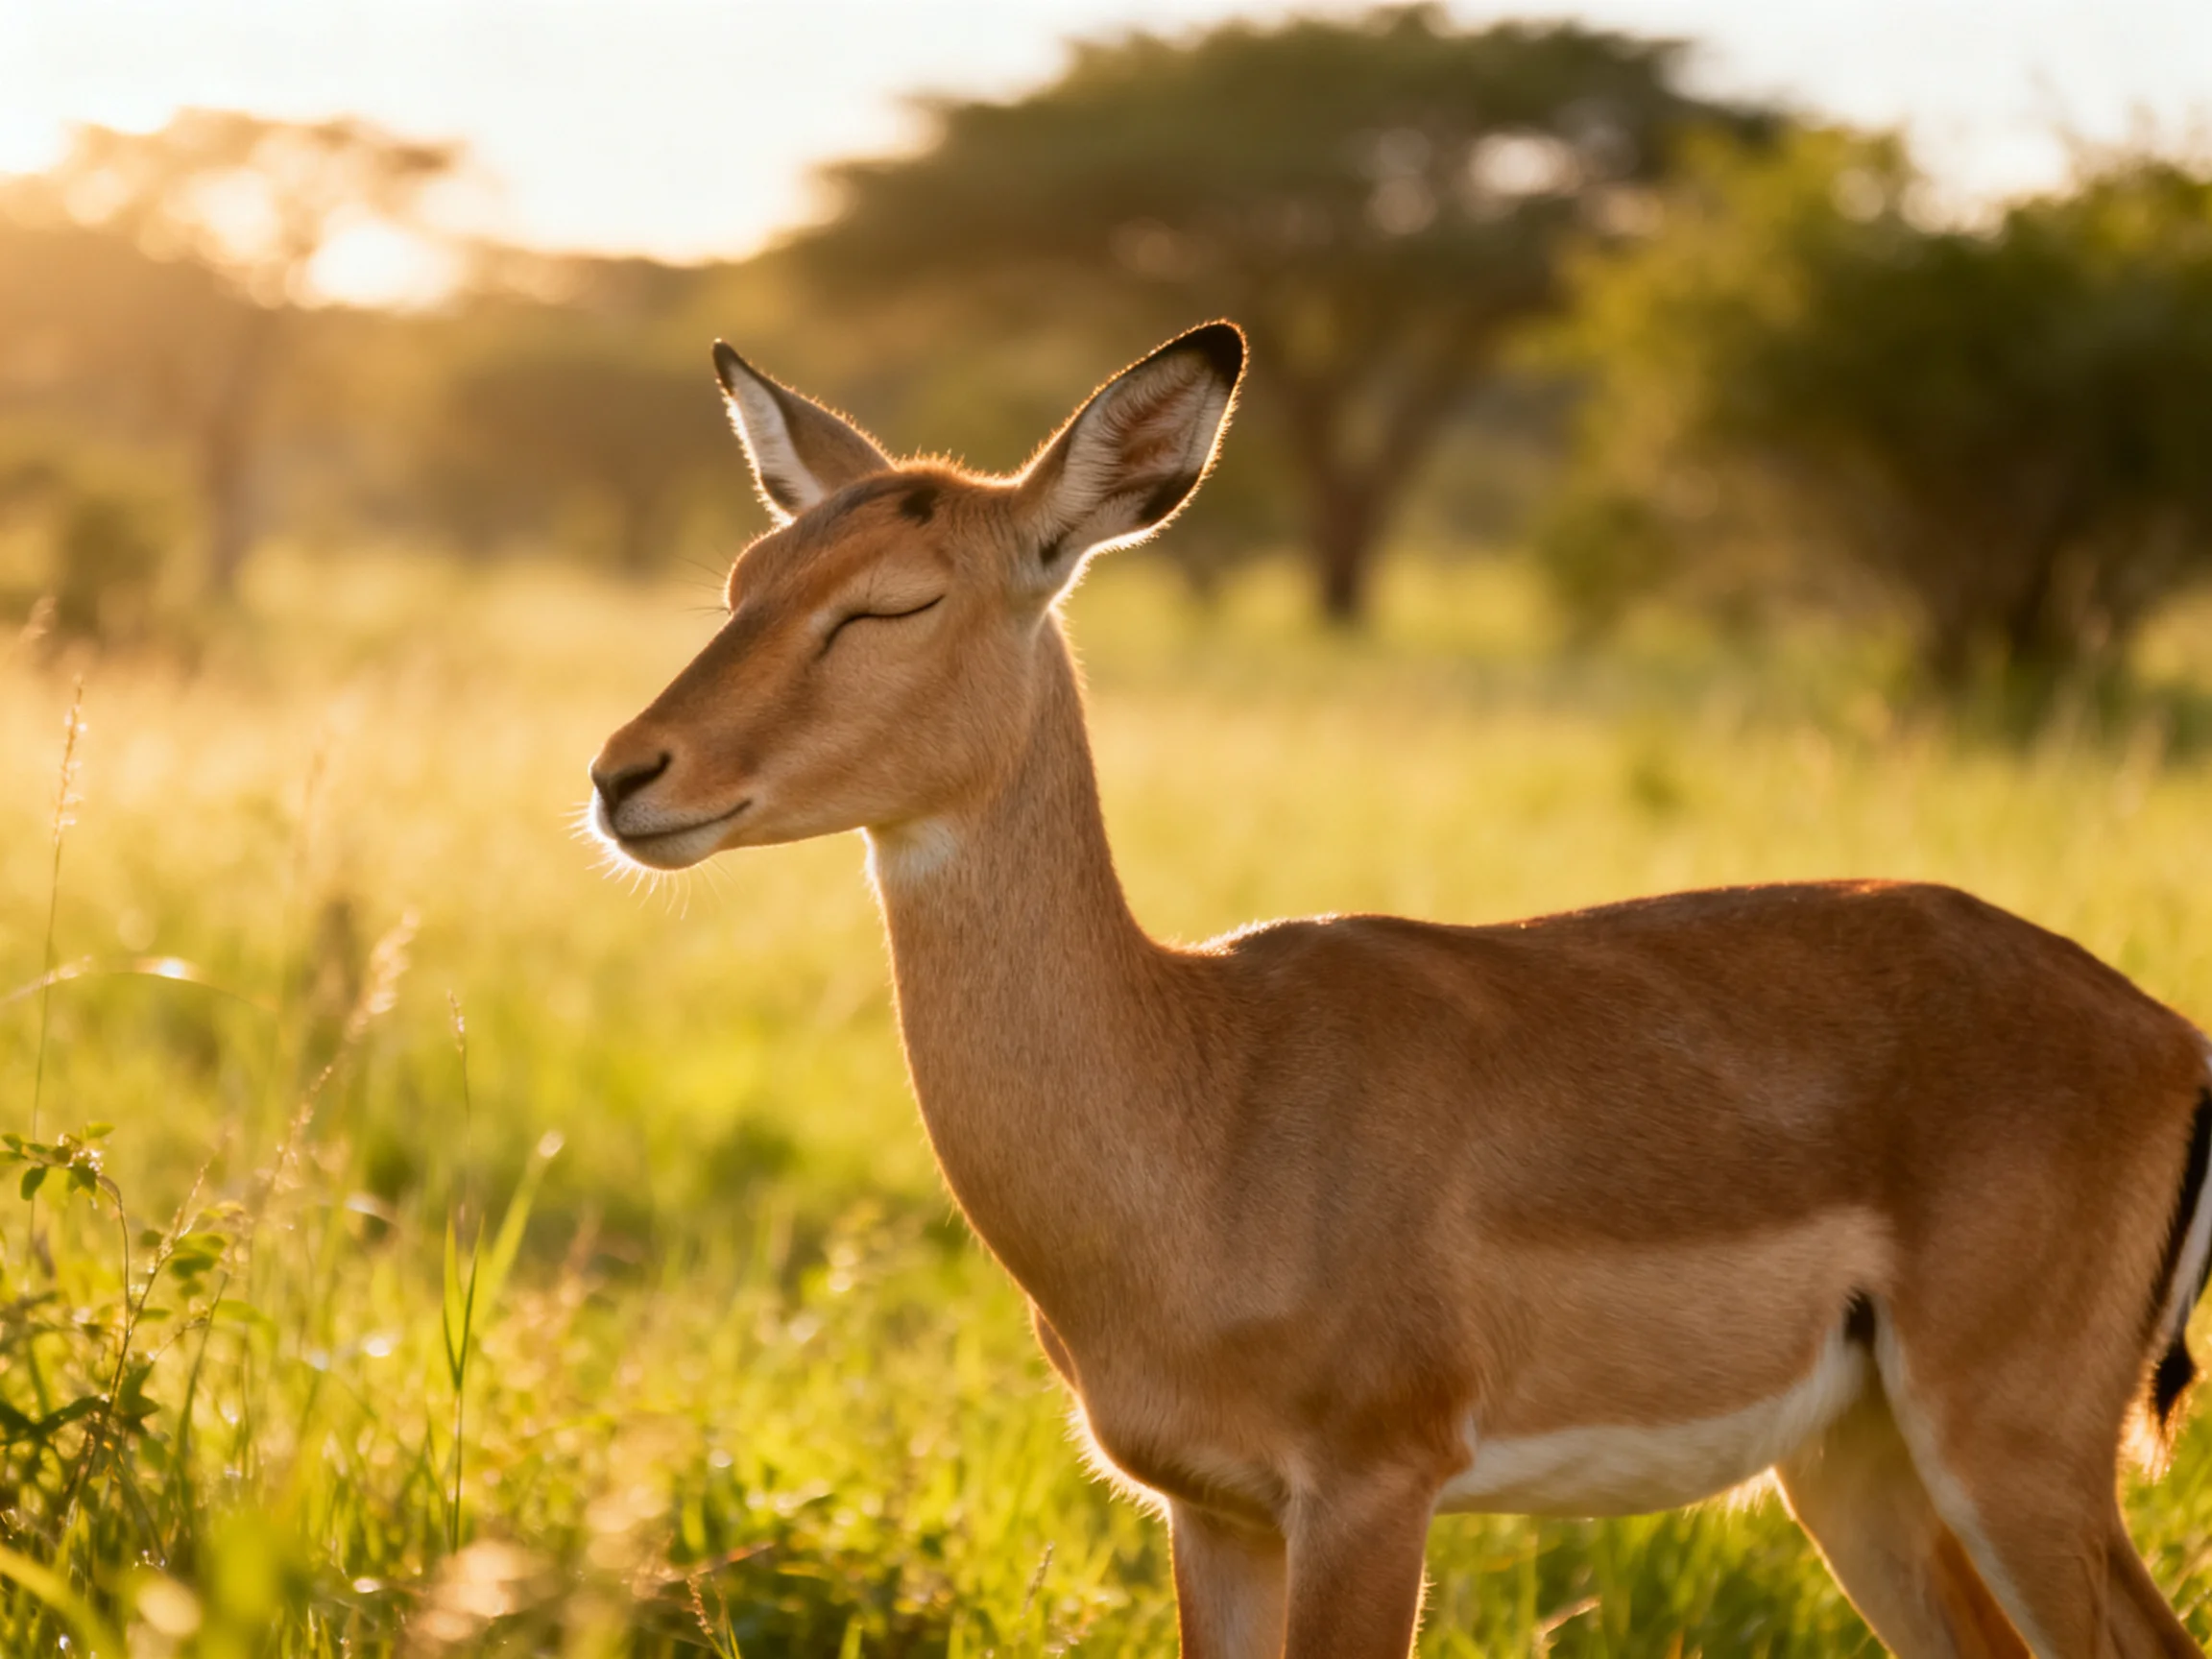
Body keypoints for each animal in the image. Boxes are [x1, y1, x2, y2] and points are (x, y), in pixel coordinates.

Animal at [589, 322, 2212, 1658]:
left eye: (889, 605)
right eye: (746, 582)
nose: (627, 775)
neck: (1203, 1097)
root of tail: (2167, 1037)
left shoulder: (1373, 1492)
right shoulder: (1215, 1513)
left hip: (2013, 1453)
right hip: (1860, 1469)